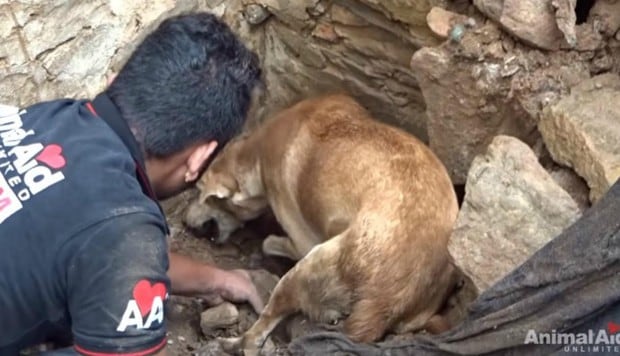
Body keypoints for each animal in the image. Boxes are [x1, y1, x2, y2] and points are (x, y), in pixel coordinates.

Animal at [184, 94, 460, 356]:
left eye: (201, 193)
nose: (185, 222)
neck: (257, 152)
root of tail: (384, 301)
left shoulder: (303, 239)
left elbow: (268, 242)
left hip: (306, 267)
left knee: (257, 333)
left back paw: (234, 342)